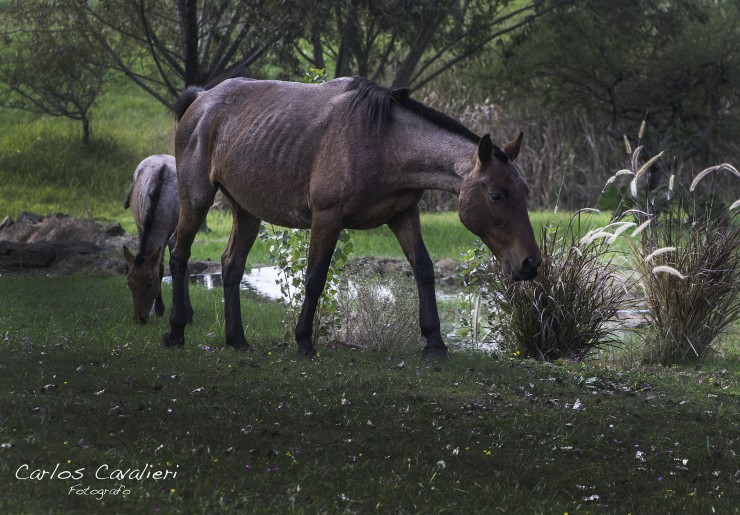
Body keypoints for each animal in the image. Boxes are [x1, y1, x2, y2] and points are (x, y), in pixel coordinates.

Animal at [123, 152, 191, 322]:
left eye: (150, 283)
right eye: (129, 283)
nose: (139, 318)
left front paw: (187, 313)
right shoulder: (141, 226)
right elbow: (160, 267)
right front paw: (160, 308)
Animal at [165, 76, 540, 358]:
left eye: (525, 192)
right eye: (496, 195)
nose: (531, 263)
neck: (384, 141)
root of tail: (202, 100)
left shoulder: (403, 215)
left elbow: (424, 269)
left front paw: (434, 343)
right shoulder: (327, 217)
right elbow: (315, 277)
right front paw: (304, 340)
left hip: (246, 210)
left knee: (231, 264)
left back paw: (237, 340)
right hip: (196, 198)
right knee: (179, 253)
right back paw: (176, 330)